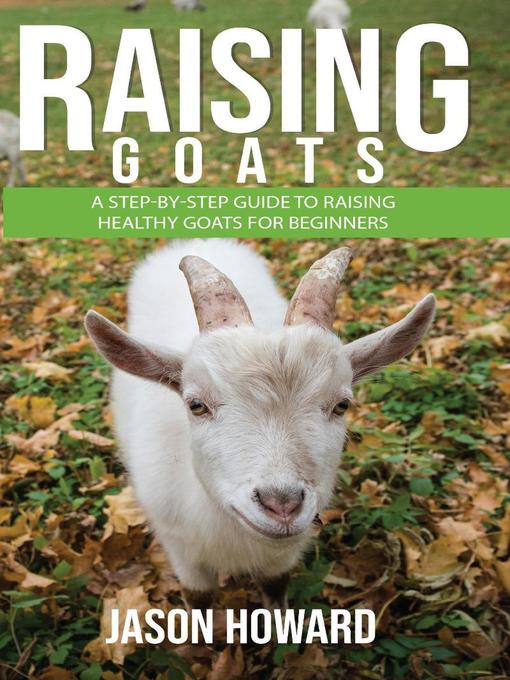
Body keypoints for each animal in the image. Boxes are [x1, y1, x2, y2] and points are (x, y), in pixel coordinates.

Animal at [85, 240, 435, 609]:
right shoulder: (181, 549)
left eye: (342, 405)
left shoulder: (282, 557)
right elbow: (199, 599)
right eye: (196, 405)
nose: (282, 506)